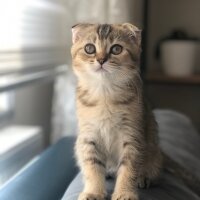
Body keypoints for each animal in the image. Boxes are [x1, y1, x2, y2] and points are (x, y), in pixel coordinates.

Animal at [70, 23, 200, 200]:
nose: (101, 60)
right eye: (89, 48)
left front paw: (124, 193)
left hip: (152, 150)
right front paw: (93, 191)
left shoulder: (132, 136)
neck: (105, 94)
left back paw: (144, 178)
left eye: (116, 49)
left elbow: (128, 169)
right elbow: (92, 166)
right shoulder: (88, 136)